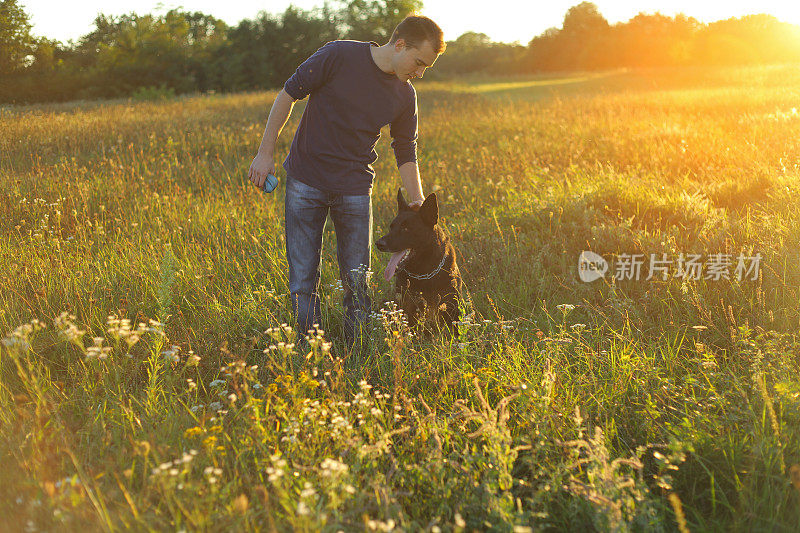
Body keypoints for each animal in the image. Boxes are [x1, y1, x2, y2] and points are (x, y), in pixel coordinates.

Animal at [376, 189, 466, 334]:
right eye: (391, 227)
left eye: (406, 228)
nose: (378, 244)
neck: (424, 273)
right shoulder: (409, 309)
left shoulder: (452, 309)